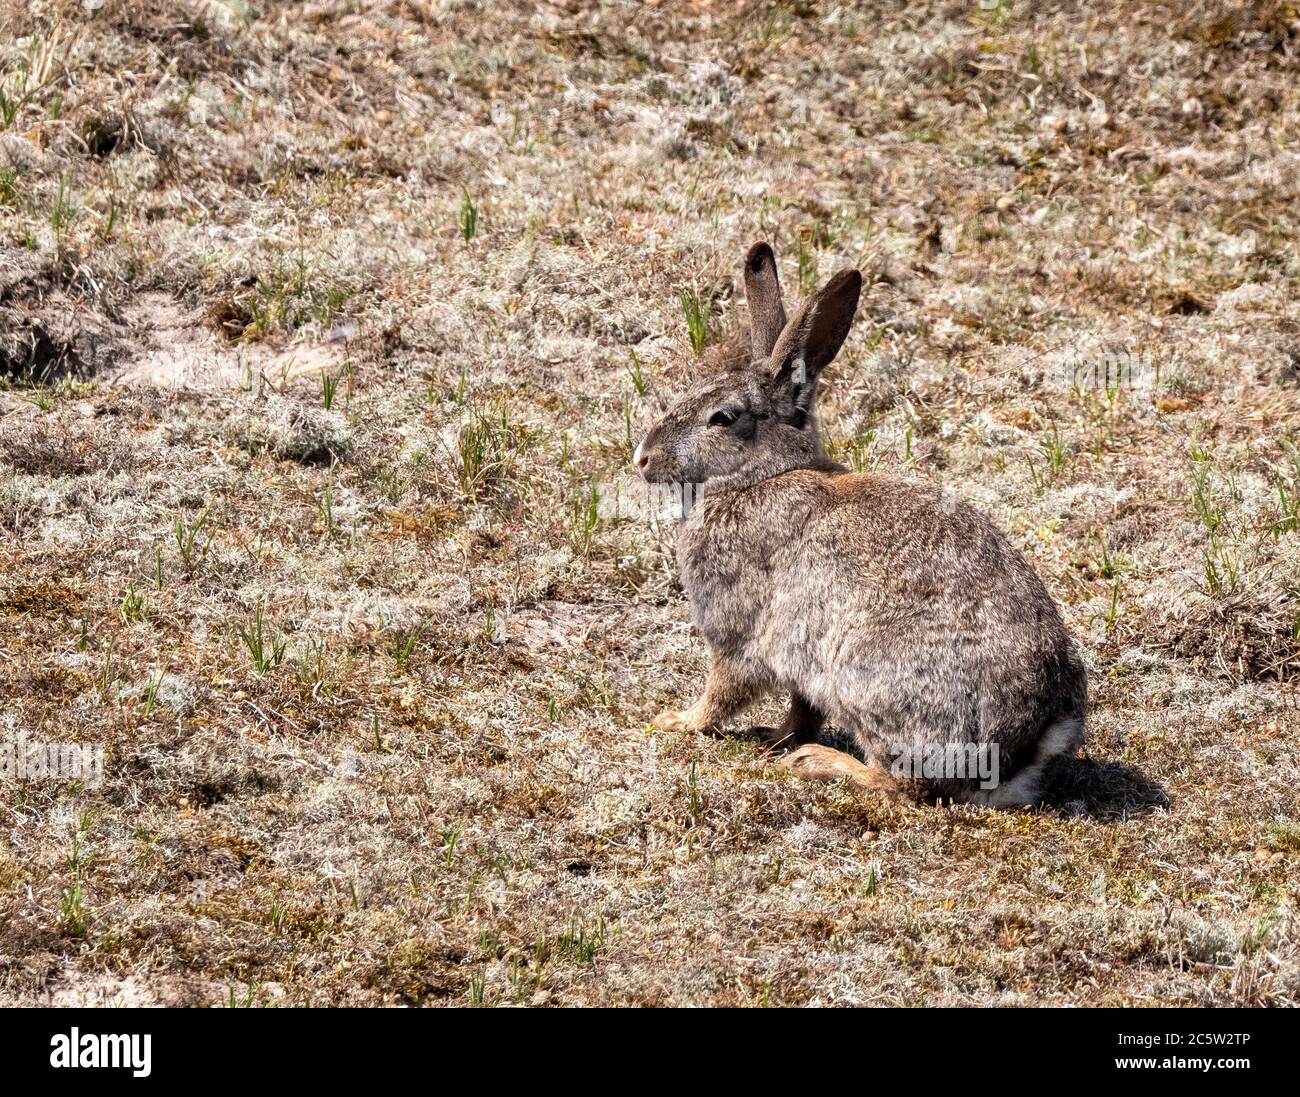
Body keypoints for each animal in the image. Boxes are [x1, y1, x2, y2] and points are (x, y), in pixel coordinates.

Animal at [634, 241, 1081, 805]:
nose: (642, 459)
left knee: (905, 785)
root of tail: (1020, 748)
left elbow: (724, 690)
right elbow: (801, 708)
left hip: (867, 677)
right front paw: (773, 735)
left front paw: (677, 721)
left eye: (723, 418)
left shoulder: (739, 631)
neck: (761, 476)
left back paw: (819, 763)